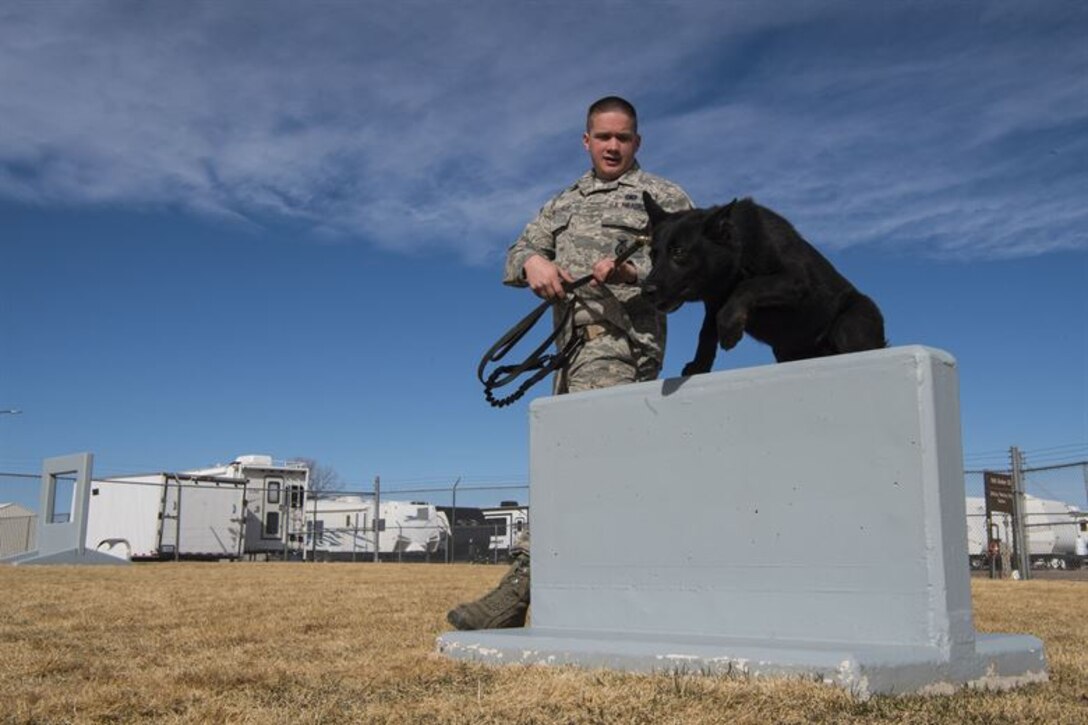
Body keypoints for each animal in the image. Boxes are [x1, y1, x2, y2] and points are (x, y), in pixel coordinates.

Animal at [639, 191, 887, 372]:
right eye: (652, 255)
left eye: (678, 252)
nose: (646, 291)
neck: (740, 252)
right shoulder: (713, 305)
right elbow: (706, 334)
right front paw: (699, 366)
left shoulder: (796, 281)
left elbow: (748, 286)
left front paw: (729, 328)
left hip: (850, 325)